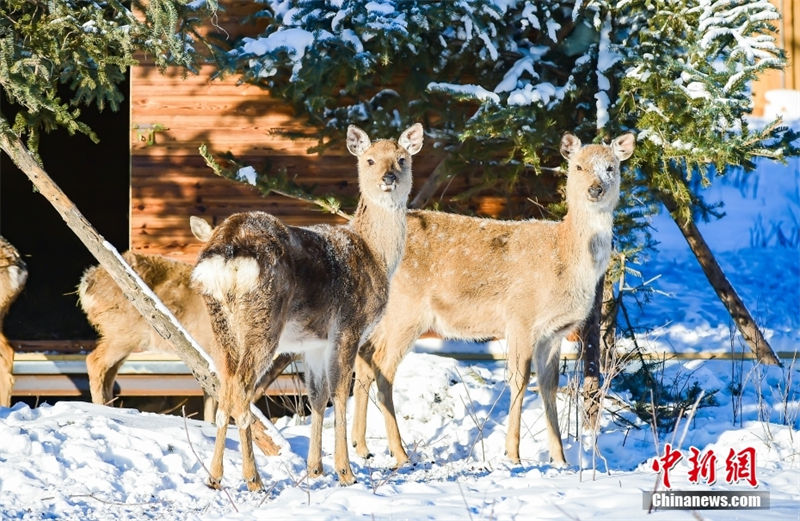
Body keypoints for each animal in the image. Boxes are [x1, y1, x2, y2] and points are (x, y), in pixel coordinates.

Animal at [190, 124, 422, 490]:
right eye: (369, 160)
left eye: (402, 159)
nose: (389, 177)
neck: (375, 255)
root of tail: (226, 249)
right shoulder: (348, 325)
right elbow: (340, 392)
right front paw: (345, 472)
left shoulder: (313, 341)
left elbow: (316, 396)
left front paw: (315, 469)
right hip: (262, 321)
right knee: (241, 391)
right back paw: (253, 478)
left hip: (220, 324)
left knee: (224, 387)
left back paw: (214, 477)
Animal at [348, 130, 632, 468]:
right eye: (577, 167)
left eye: (611, 167)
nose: (595, 188)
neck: (564, 257)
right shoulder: (520, 317)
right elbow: (520, 381)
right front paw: (513, 454)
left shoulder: (553, 333)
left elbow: (549, 387)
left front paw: (560, 459)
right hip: (407, 311)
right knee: (382, 367)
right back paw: (400, 453)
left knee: (364, 358)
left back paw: (362, 446)